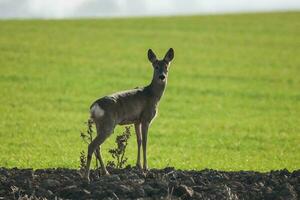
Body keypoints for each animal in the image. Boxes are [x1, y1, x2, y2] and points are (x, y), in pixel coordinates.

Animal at [84, 48, 173, 181]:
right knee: (92, 145)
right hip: (108, 124)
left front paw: (138, 166)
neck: (153, 95)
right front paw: (146, 168)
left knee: (97, 147)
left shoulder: (136, 120)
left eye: (166, 66)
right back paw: (87, 177)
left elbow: (139, 140)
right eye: (156, 66)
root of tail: (94, 107)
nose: (162, 76)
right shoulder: (146, 118)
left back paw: (106, 173)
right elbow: (145, 141)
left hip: (99, 124)